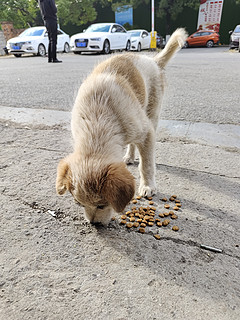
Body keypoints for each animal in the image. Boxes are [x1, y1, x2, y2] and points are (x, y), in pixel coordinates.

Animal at [56, 28, 188, 225]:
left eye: (102, 205)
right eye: (79, 204)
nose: (94, 224)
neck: (97, 120)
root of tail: (153, 61)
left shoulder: (147, 132)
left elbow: (147, 164)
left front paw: (147, 186)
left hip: (151, 114)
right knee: (132, 144)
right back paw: (129, 157)